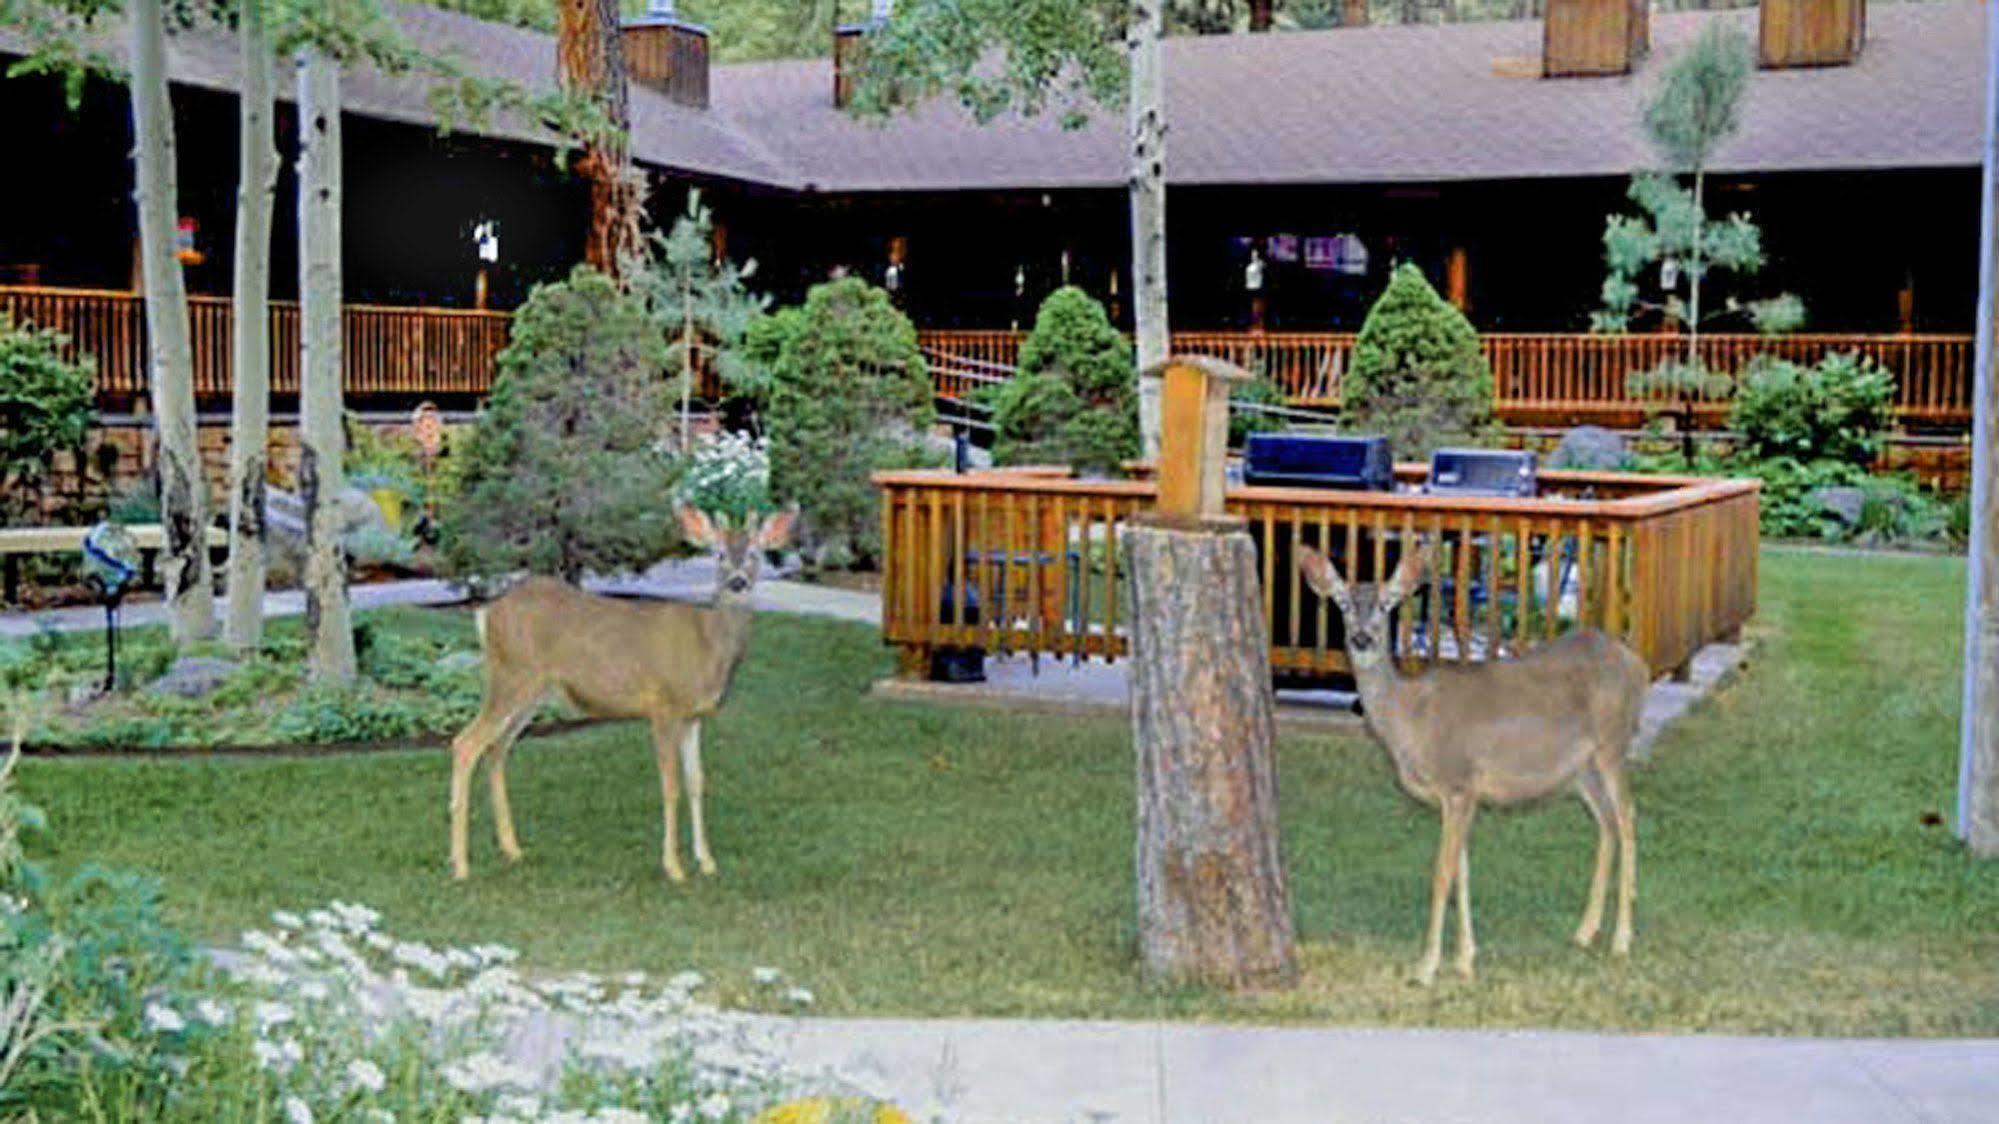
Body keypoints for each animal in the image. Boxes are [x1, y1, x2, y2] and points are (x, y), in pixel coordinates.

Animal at [453, 504, 795, 880]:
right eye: (718, 554)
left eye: (754, 554)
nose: (737, 582)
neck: (707, 647)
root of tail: (486, 613)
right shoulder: (663, 706)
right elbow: (671, 785)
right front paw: (674, 867)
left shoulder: (694, 717)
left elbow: (697, 782)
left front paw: (706, 861)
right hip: (511, 676)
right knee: (466, 743)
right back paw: (460, 865)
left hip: (533, 691)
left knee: (497, 749)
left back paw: (512, 849)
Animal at [1295, 540, 1655, 984]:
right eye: (1342, 603)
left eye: (1386, 604)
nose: (1362, 638)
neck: (1410, 720)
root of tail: (1638, 665)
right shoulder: (1464, 796)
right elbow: (1461, 873)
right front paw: (1465, 958)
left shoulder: (1457, 782)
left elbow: (1441, 875)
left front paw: (1427, 966)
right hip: (1580, 769)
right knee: (1606, 823)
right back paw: (1585, 931)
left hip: (1612, 743)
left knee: (1627, 816)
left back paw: (1622, 939)